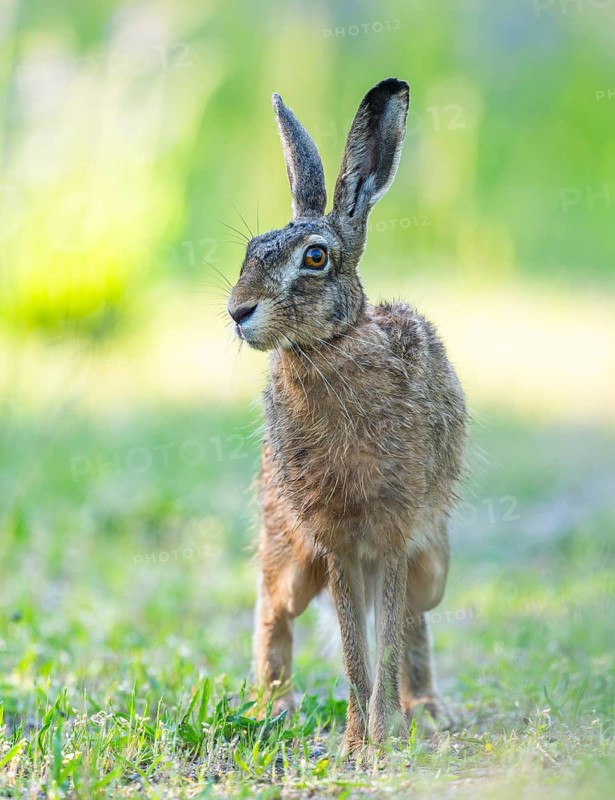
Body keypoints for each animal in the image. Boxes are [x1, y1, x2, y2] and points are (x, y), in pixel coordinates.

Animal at [227, 78, 467, 753]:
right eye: (250, 251)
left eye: (315, 258)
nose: (238, 311)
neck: (329, 349)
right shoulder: (332, 537)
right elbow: (355, 649)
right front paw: (360, 744)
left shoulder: (392, 531)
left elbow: (381, 642)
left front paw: (381, 740)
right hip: (287, 545)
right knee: (272, 607)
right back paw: (270, 708)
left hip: (431, 558)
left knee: (414, 618)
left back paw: (427, 710)